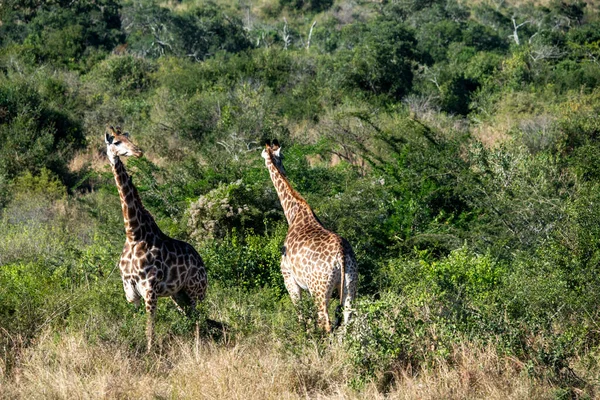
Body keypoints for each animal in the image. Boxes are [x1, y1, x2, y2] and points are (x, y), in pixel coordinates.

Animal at [103, 126, 206, 350]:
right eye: (116, 142)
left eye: (128, 138)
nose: (138, 151)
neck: (134, 234)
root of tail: (201, 261)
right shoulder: (131, 293)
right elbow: (136, 323)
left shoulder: (149, 289)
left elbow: (150, 326)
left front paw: (150, 353)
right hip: (178, 295)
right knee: (190, 316)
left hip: (196, 291)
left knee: (199, 318)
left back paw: (198, 347)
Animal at [262, 139, 356, 332]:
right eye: (281, 157)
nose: (284, 170)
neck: (293, 214)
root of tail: (341, 256)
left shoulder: (289, 279)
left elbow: (301, 317)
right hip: (350, 284)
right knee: (347, 319)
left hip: (319, 289)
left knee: (325, 321)